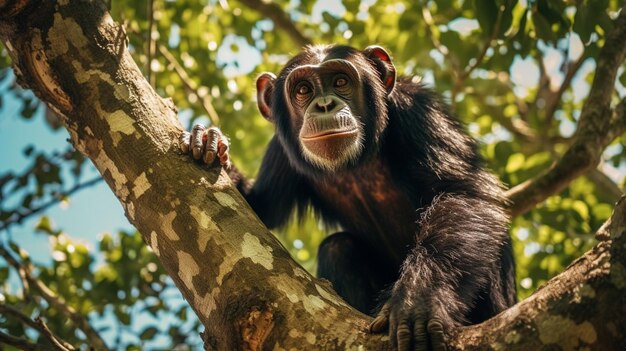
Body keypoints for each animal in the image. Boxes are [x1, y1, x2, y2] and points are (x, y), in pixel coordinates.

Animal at [178, 45, 516, 350]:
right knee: (338, 249)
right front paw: (209, 142)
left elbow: (460, 192)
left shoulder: (419, 111)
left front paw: (420, 298)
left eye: (340, 81)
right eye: (303, 89)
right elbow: (261, 207)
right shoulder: (282, 149)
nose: (325, 104)